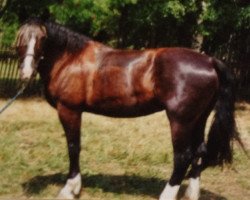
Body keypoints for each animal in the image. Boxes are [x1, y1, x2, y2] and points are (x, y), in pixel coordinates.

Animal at [15, 18, 238, 200]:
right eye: (20, 39)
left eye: (42, 38)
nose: (26, 72)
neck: (71, 59)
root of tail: (209, 61)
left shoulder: (69, 110)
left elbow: (73, 147)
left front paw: (70, 189)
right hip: (199, 118)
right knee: (199, 151)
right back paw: (192, 194)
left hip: (180, 120)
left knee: (183, 156)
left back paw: (166, 194)